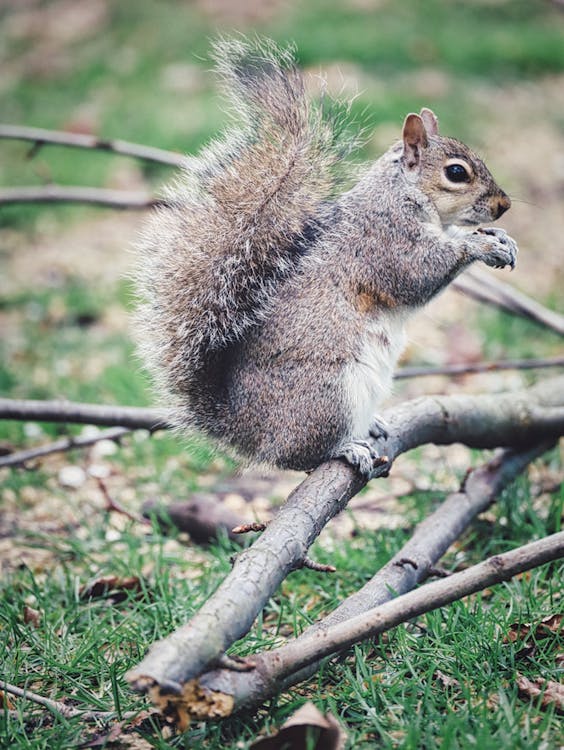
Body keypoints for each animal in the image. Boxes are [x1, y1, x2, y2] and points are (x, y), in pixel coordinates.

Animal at [134, 38, 516, 478]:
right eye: (456, 173)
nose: (504, 206)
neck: (403, 195)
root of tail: (246, 430)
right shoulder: (383, 240)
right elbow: (416, 274)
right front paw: (480, 245)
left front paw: (500, 239)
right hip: (329, 395)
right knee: (299, 456)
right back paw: (345, 448)